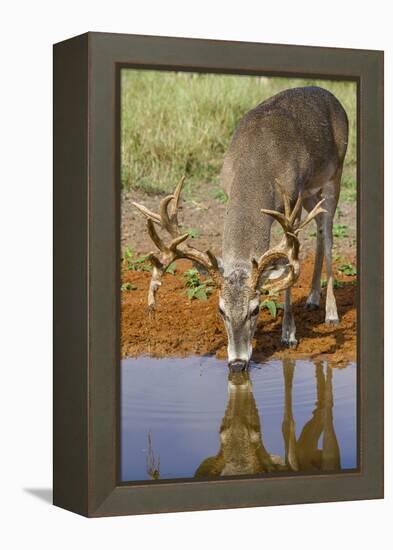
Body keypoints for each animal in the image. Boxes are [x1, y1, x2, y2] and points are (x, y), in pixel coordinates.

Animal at [133, 87, 348, 370]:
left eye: (255, 309)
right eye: (220, 309)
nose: (237, 362)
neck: (257, 163)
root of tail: (331, 95)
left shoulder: (293, 199)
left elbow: (290, 264)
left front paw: (288, 335)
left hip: (335, 174)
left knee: (329, 235)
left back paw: (331, 314)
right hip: (312, 193)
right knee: (321, 231)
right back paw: (312, 298)